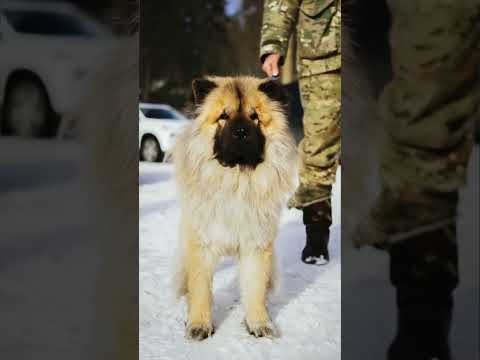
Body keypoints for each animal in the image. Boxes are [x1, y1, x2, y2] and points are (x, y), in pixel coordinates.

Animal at [172, 75, 298, 340]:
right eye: (223, 116)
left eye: (254, 117)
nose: (241, 132)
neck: (237, 182)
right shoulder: (202, 244)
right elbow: (200, 288)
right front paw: (199, 325)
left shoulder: (256, 245)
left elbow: (255, 288)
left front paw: (260, 323)